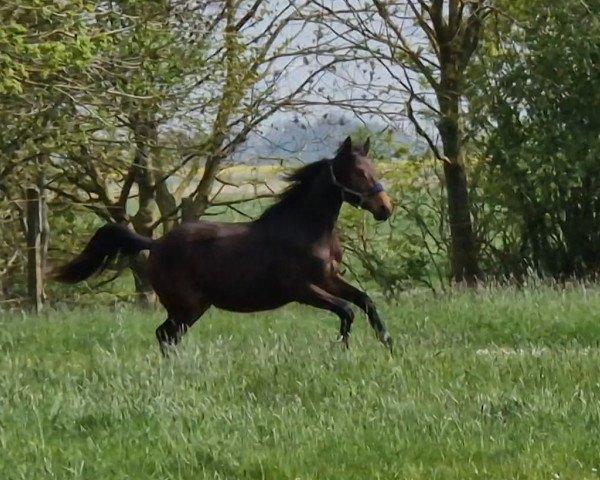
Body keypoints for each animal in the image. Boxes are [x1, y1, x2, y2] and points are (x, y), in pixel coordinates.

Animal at [54, 137, 396, 354]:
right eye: (359, 173)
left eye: (375, 171)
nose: (385, 209)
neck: (307, 230)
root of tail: (156, 243)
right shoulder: (302, 289)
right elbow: (347, 311)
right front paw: (341, 349)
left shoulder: (328, 279)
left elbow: (365, 302)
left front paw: (388, 344)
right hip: (186, 306)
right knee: (165, 335)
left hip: (193, 307)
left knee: (168, 336)